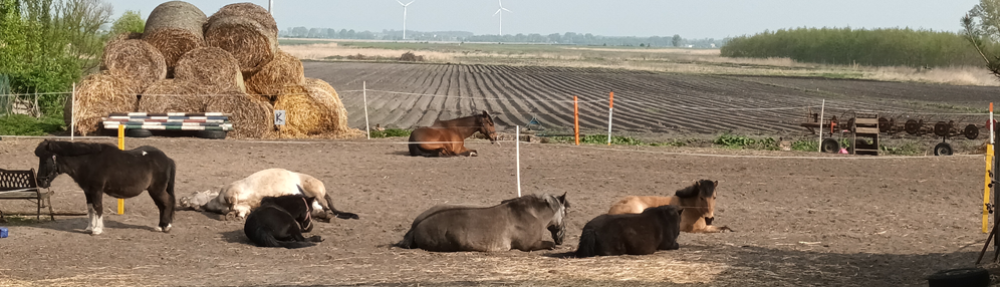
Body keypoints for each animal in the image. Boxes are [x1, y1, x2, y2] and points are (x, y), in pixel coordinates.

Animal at [180, 169, 360, 223]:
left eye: (194, 193)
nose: (182, 200)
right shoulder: (243, 206)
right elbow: (241, 210)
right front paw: (234, 215)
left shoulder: (231, 191)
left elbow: (232, 201)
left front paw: (231, 212)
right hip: (311, 204)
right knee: (319, 211)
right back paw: (326, 216)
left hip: (313, 189)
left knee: (325, 205)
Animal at [398, 194, 572, 252]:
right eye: (566, 213)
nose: (561, 238)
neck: (531, 214)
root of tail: (416, 227)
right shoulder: (529, 245)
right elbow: (550, 244)